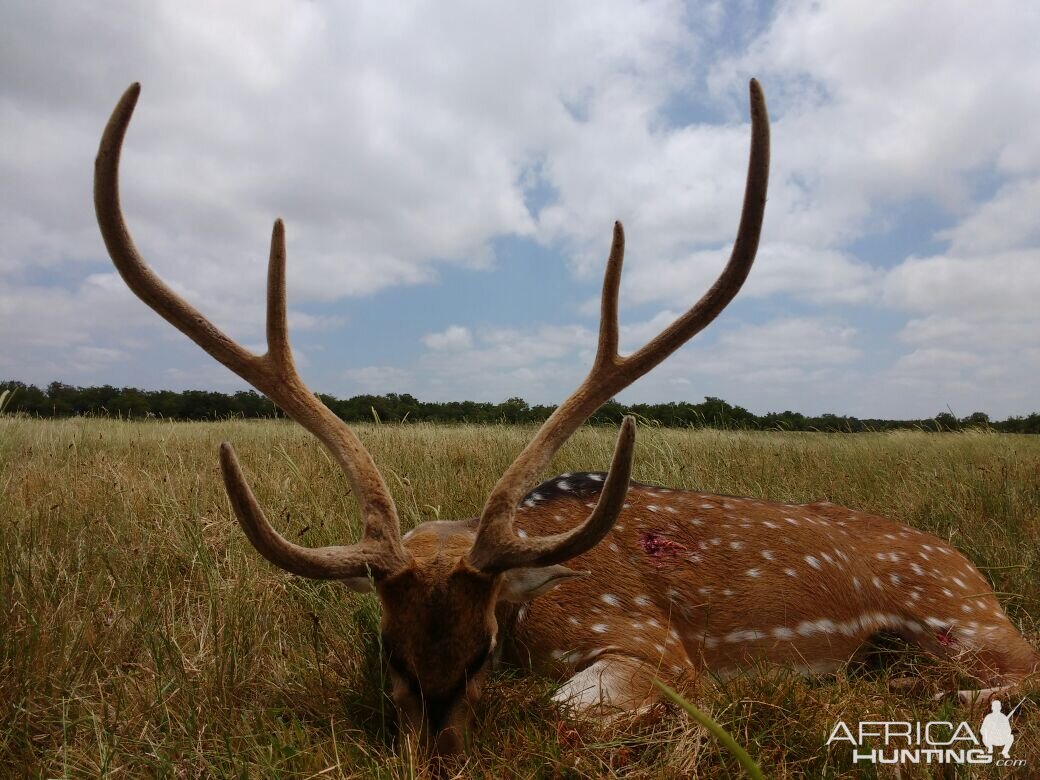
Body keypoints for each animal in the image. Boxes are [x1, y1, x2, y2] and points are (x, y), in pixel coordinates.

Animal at [93, 81, 1035, 757]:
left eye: (481, 651)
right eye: (391, 653)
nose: (436, 752)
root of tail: (968, 563)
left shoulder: (655, 647)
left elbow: (569, 713)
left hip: (963, 618)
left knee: (1016, 665)